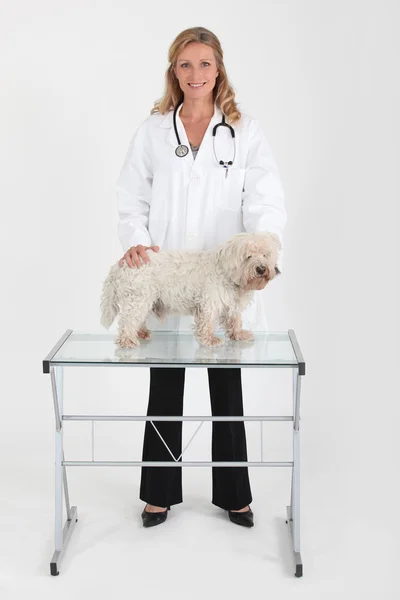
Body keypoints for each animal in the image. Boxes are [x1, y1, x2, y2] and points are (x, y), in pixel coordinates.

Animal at [100, 232, 282, 350]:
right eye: (248, 256)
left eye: (265, 255)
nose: (261, 269)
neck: (225, 270)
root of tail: (119, 266)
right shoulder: (209, 302)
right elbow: (207, 322)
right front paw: (209, 340)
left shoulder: (231, 304)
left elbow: (234, 320)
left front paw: (238, 334)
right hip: (138, 299)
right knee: (128, 320)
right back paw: (127, 340)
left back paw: (141, 333)